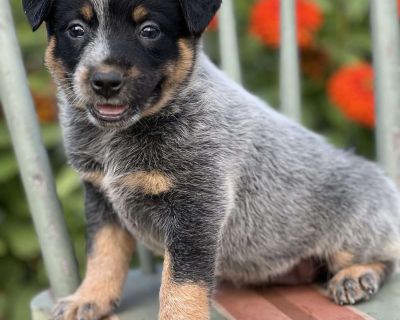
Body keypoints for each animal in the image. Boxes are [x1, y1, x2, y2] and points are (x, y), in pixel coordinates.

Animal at [23, 0, 400, 320]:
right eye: (75, 29)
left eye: (149, 30)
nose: (105, 81)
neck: (119, 137)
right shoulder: (101, 195)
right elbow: (102, 254)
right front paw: (89, 298)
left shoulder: (197, 205)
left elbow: (180, 284)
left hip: (357, 228)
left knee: (385, 255)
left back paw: (356, 276)